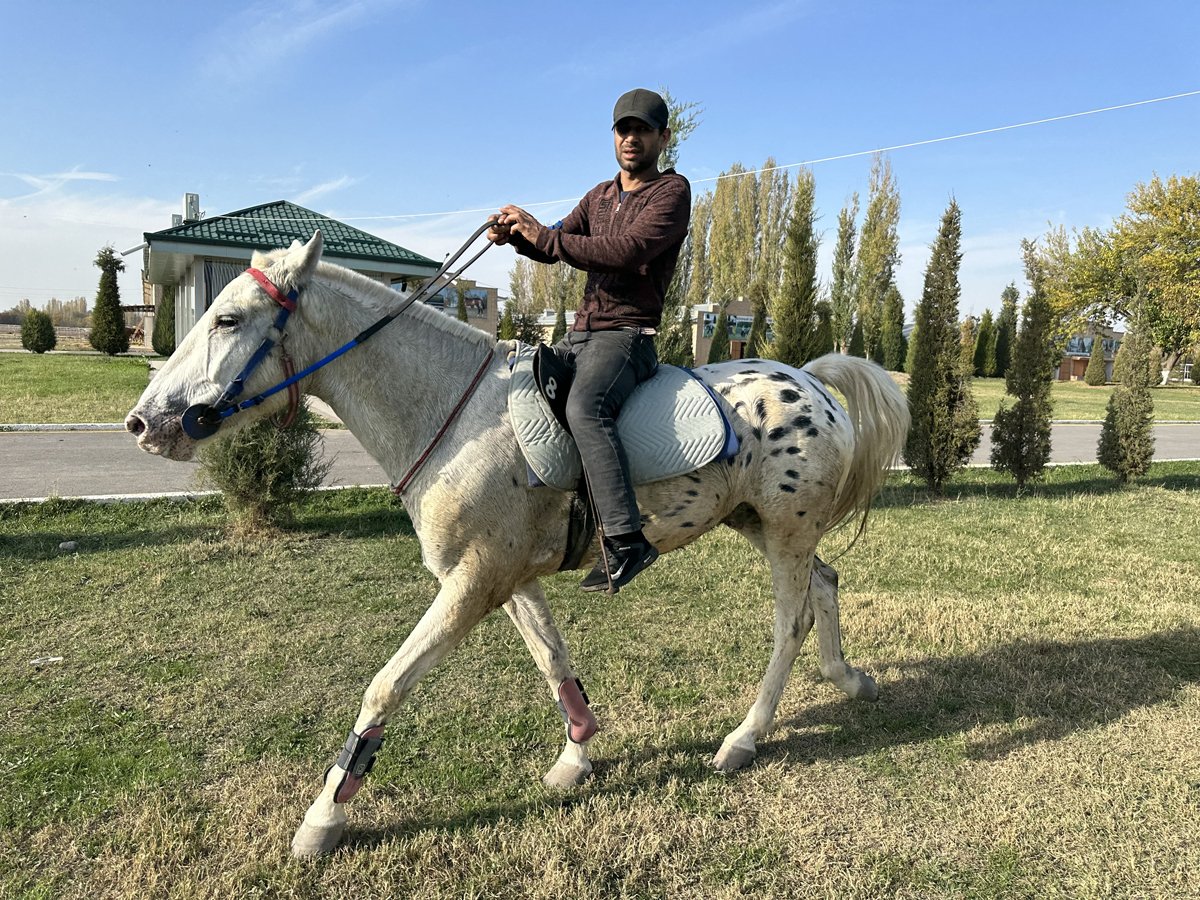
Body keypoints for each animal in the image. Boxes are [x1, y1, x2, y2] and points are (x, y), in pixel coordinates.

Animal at [125, 232, 909, 857]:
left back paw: (743, 738)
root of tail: (813, 381)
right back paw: (849, 679)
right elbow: (553, 660)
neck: (456, 415)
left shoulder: (470, 584)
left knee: (790, 622)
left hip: (784, 534)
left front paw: (323, 819)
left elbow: (386, 686)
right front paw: (577, 756)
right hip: (758, 523)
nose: (142, 423)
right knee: (827, 585)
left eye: (228, 319)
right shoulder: (505, 580)